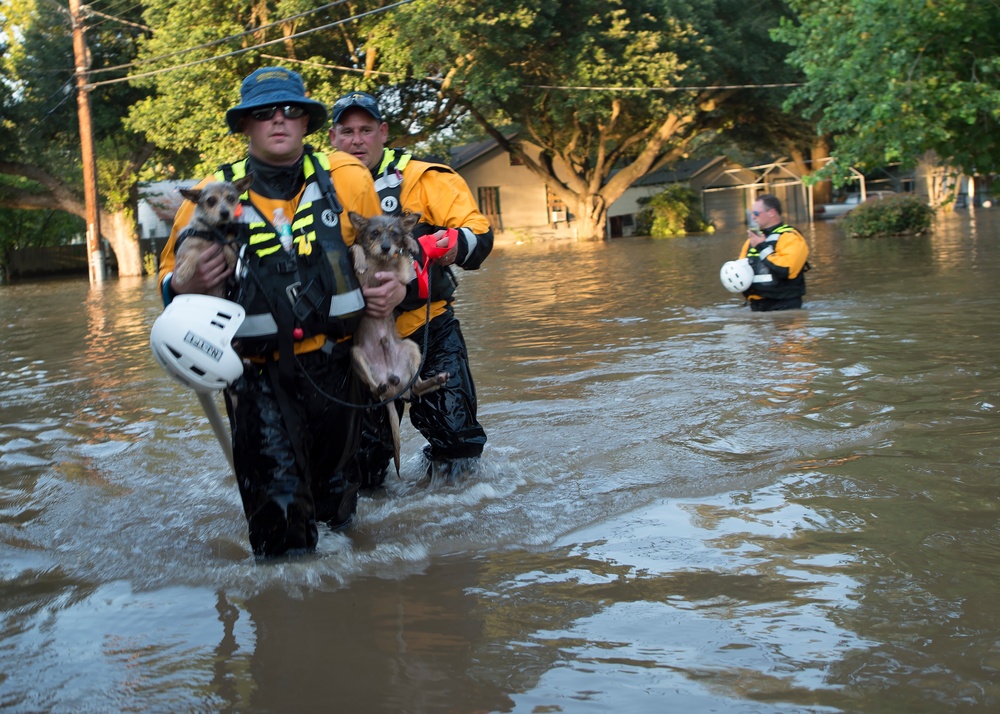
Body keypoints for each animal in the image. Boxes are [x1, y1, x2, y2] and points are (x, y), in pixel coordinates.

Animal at [348, 210, 450, 472]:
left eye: (394, 234)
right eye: (374, 233)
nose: (386, 247)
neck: (381, 262)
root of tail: (392, 382)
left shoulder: (402, 277)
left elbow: (405, 255)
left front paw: (411, 242)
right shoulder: (360, 288)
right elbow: (355, 247)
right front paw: (361, 260)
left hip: (411, 349)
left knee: (417, 386)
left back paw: (436, 379)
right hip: (356, 355)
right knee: (375, 391)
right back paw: (381, 386)